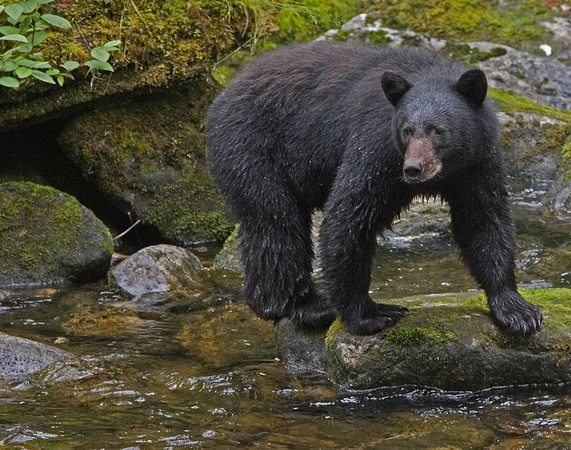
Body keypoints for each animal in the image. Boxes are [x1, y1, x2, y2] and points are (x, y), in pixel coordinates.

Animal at [204, 42, 540, 336]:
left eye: (439, 130)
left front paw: (517, 310)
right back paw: (307, 306)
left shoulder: (478, 163)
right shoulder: (376, 148)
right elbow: (349, 216)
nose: (413, 168)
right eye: (406, 131)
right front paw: (369, 314)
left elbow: (483, 218)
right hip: (252, 150)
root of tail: (223, 93)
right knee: (276, 224)